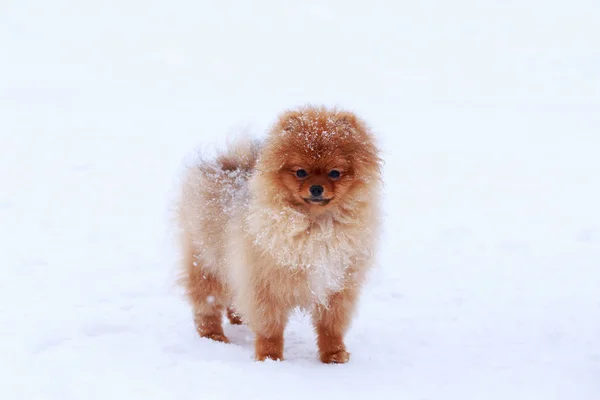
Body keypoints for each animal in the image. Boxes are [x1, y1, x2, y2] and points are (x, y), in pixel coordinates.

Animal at [176, 105, 382, 362]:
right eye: (300, 172)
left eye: (335, 173)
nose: (316, 188)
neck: (316, 225)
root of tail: (230, 163)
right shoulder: (265, 283)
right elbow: (269, 328)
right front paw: (269, 357)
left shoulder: (339, 285)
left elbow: (330, 325)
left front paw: (334, 355)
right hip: (206, 262)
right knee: (206, 305)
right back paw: (213, 336)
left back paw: (238, 318)